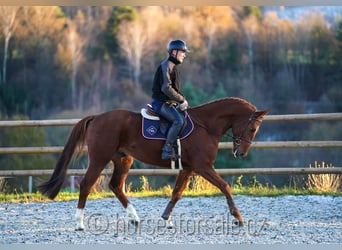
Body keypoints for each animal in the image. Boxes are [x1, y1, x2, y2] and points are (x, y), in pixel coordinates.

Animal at [37, 96, 268, 229]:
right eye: (252, 128)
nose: (241, 153)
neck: (206, 125)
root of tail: (97, 117)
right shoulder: (202, 166)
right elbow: (225, 186)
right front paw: (238, 218)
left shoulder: (189, 168)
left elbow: (176, 193)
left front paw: (167, 219)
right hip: (100, 158)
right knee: (86, 184)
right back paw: (80, 224)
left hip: (123, 159)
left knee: (116, 185)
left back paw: (134, 218)